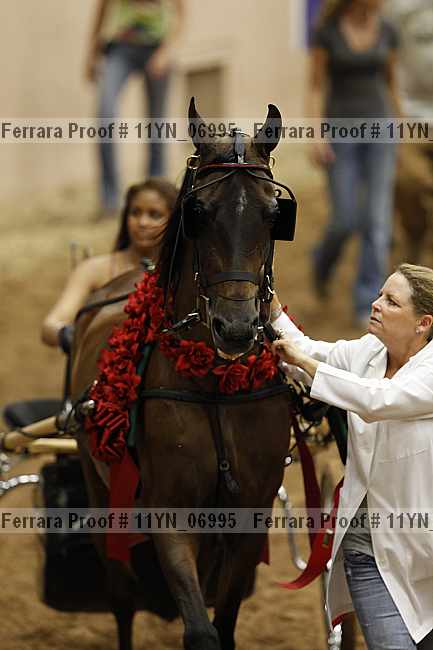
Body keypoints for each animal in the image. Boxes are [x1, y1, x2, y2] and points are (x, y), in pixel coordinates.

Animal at [70, 99, 296, 650]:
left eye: (273, 215)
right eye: (200, 213)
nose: (235, 328)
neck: (216, 386)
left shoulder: (249, 515)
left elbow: (226, 621)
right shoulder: (170, 513)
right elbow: (201, 630)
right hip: (101, 493)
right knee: (121, 597)